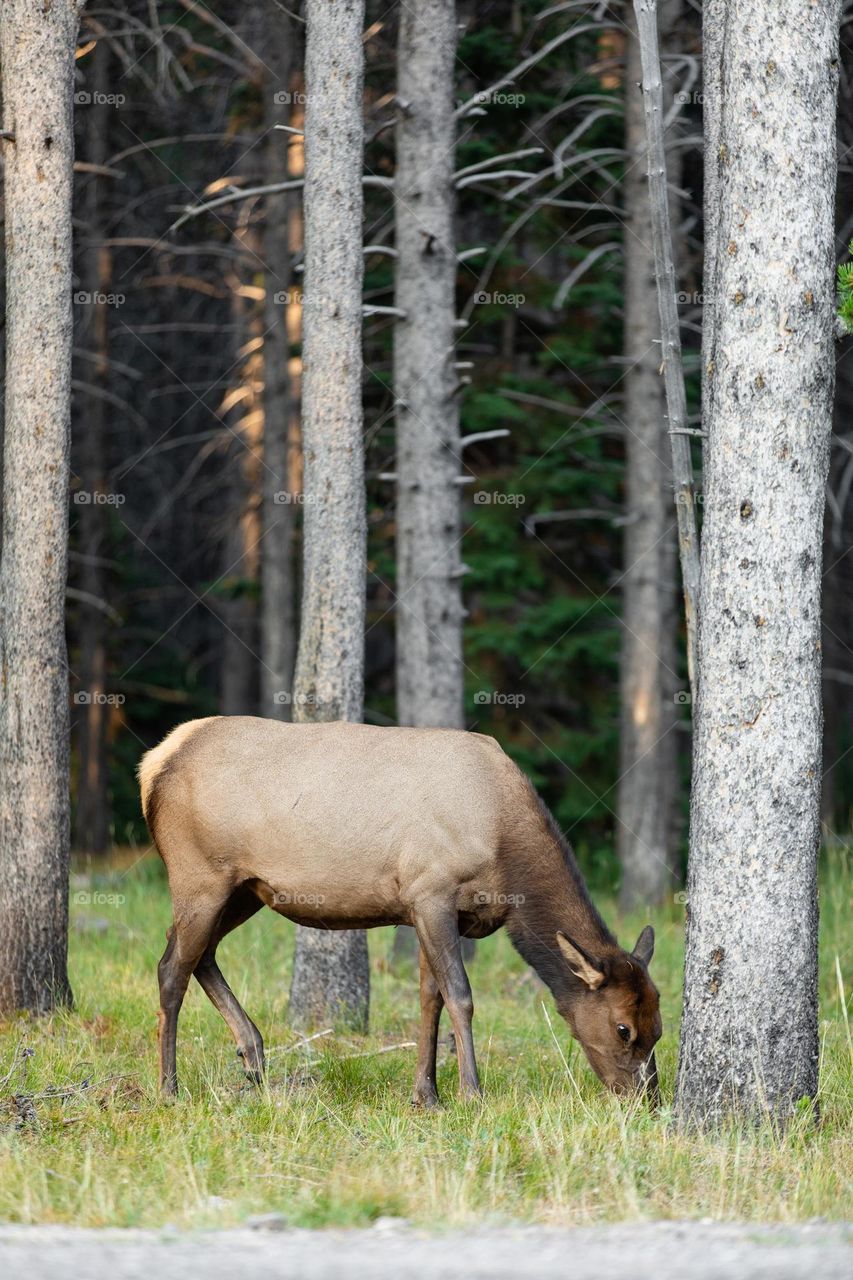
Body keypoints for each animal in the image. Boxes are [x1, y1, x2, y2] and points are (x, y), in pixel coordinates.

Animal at [139, 716, 662, 1106]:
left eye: (658, 1026)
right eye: (623, 1028)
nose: (648, 1100)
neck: (503, 848)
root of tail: (153, 764)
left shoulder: (432, 910)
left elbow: (430, 998)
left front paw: (426, 1095)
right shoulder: (431, 891)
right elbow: (460, 995)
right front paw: (471, 1094)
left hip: (245, 889)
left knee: (200, 955)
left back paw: (253, 1055)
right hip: (199, 874)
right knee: (171, 967)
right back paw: (169, 1088)